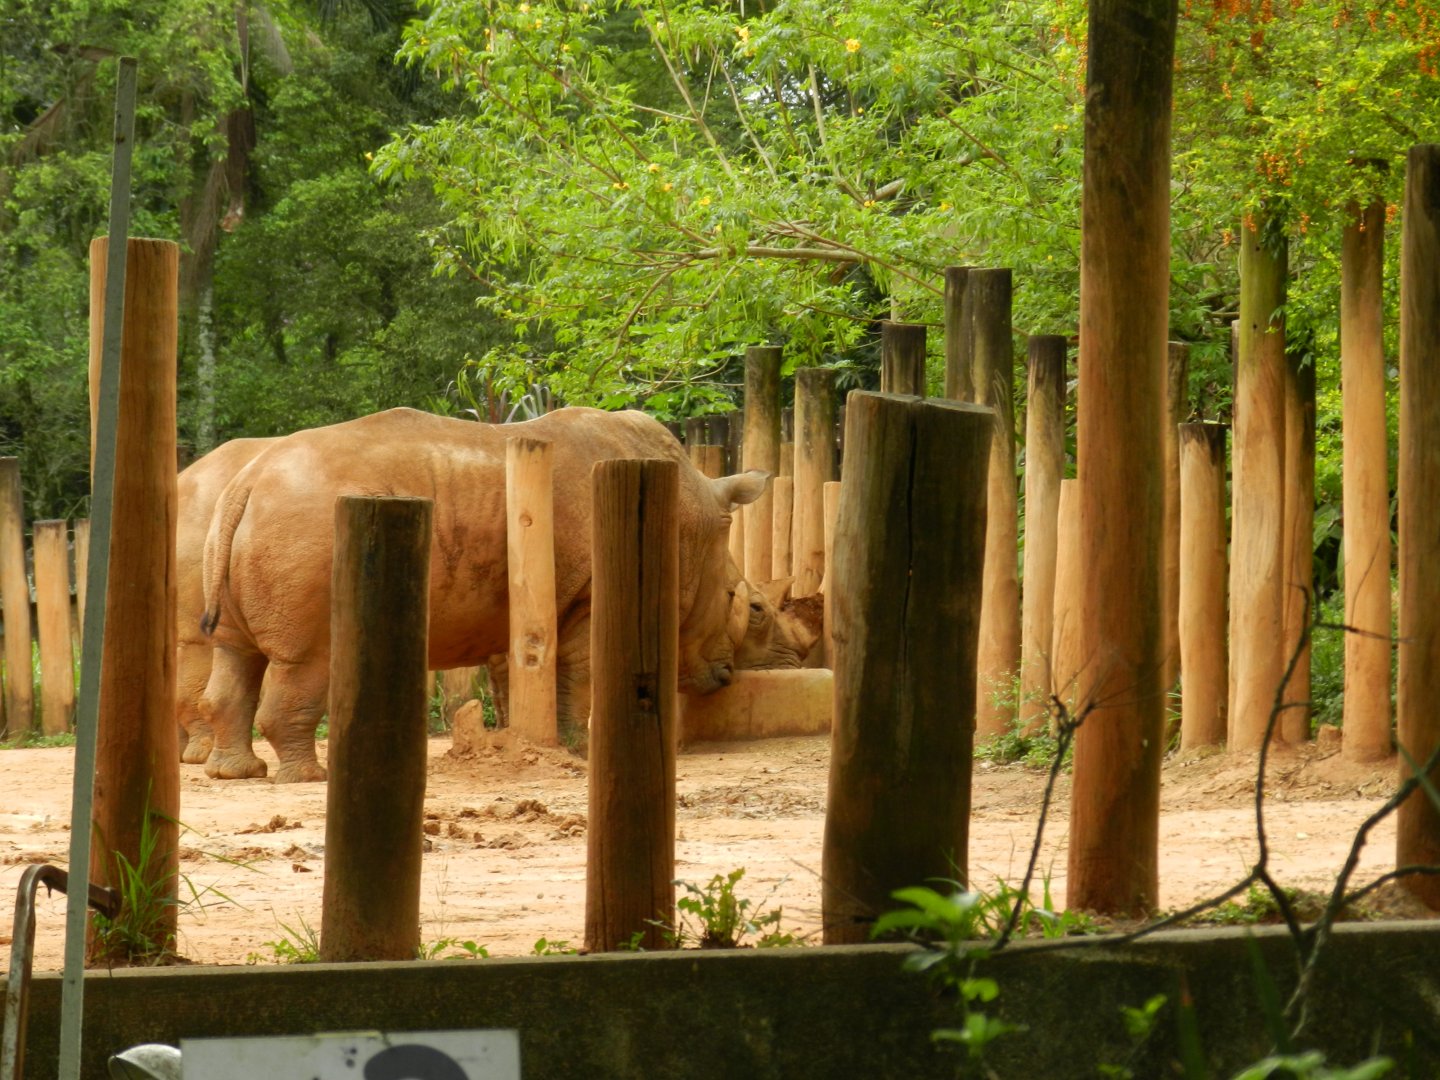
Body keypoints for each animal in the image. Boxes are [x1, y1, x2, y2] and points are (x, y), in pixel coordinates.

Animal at [196, 407, 798, 782]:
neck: (690, 515)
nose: (725, 675)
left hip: (260, 525)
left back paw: (236, 773)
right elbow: (580, 668)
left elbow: (517, 672)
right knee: (308, 658)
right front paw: (579, 750)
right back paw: (308, 777)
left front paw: (521, 741)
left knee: (233, 652)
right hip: (306, 527)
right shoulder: (589, 592)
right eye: (735, 598)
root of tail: (246, 483)